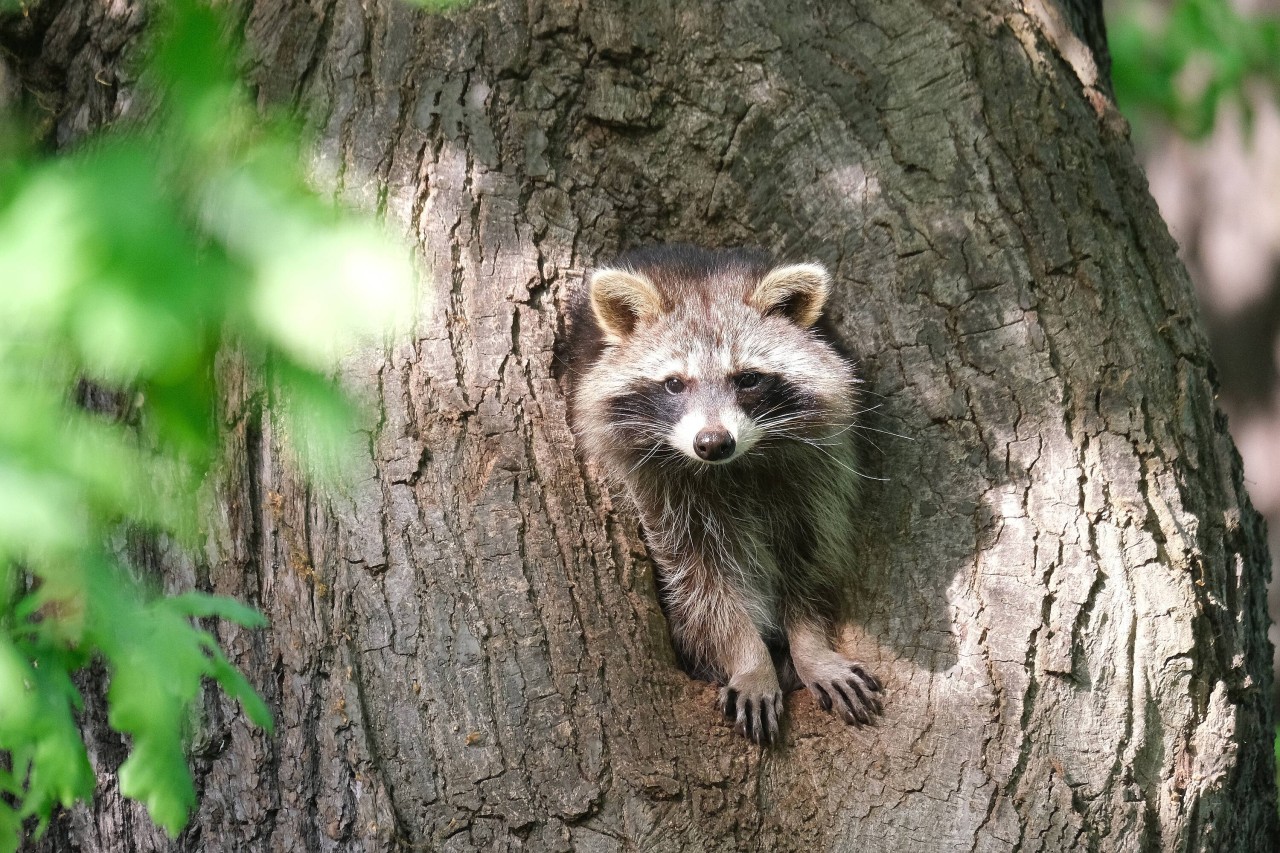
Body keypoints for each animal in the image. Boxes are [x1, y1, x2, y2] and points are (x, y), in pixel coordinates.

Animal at [560, 242, 880, 742]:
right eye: (674, 383)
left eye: (747, 378)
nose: (712, 443)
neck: (731, 469)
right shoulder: (656, 491)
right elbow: (700, 585)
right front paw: (749, 660)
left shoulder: (817, 476)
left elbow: (809, 561)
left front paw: (810, 645)